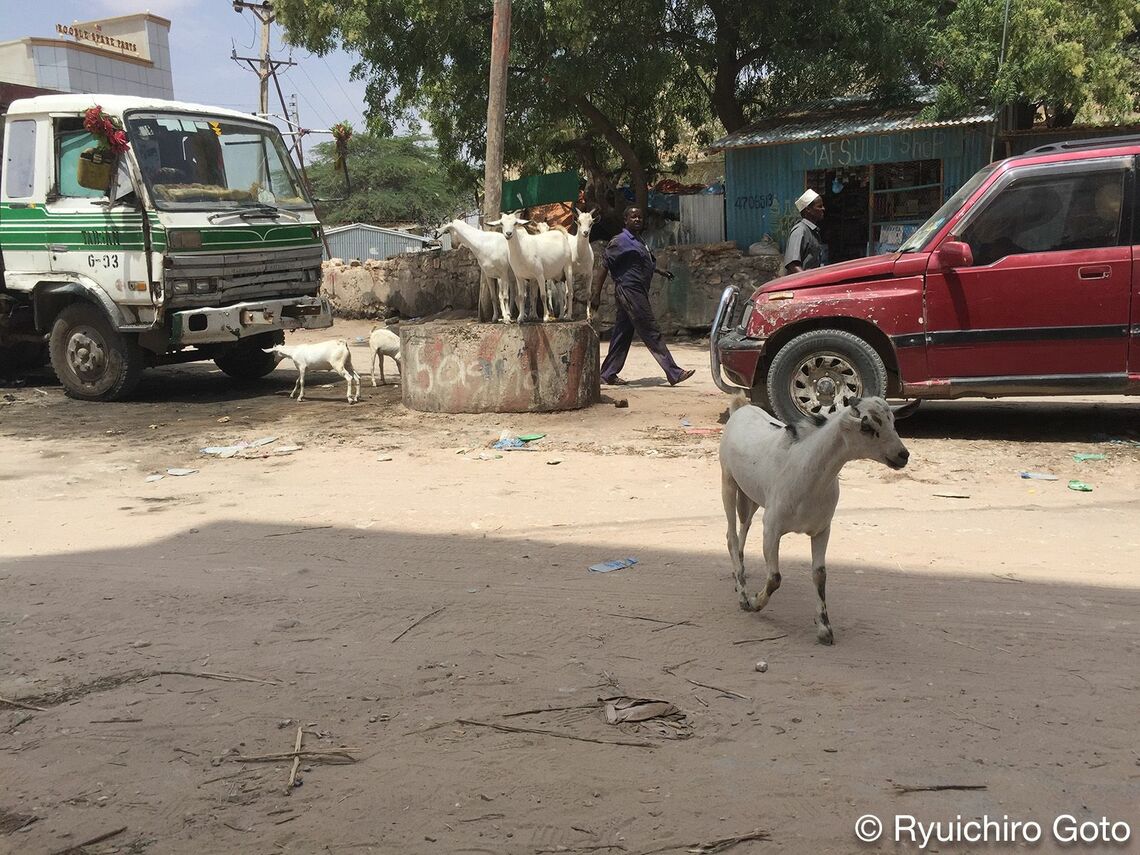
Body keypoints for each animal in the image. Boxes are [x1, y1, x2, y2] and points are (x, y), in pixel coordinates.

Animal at [715, 399, 921, 647]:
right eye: (867, 426)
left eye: (893, 422)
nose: (903, 454)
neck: (807, 471)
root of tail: (741, 407)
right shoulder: (772, 528)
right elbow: (774, 578)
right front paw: (755, 602)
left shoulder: (822, 529)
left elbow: (820, 575)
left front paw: (824, 627)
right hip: (728, 481)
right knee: (731, 536)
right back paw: (743, 594)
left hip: (751, 496)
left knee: (743, 528)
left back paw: (739, 577)